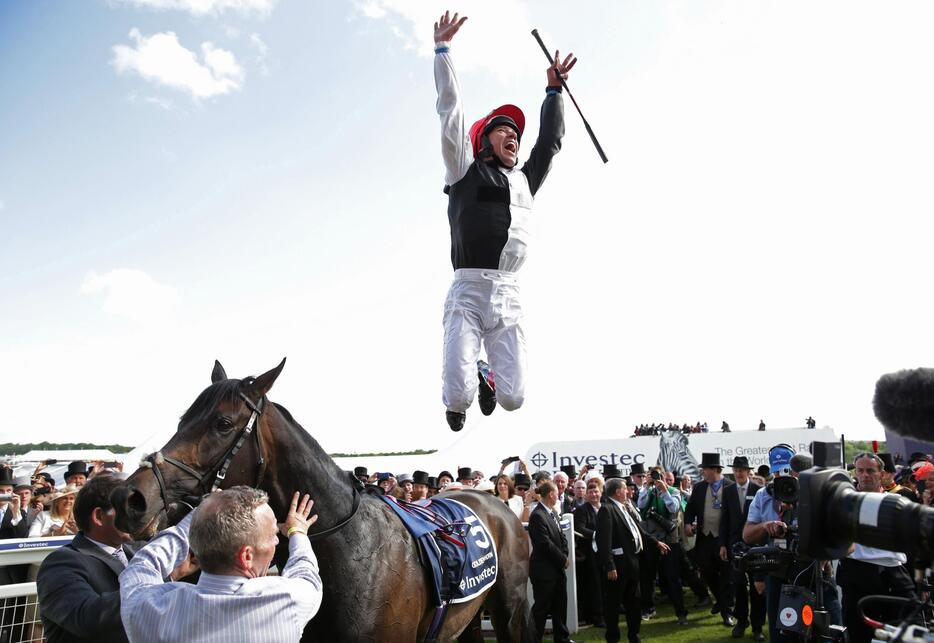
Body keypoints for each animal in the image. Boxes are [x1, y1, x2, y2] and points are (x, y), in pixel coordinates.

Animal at [111, 360, 532, 640]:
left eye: (223, 424)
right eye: (183, 421)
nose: (130, 498)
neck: (351, 549)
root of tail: (496, 502)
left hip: (508, 611)